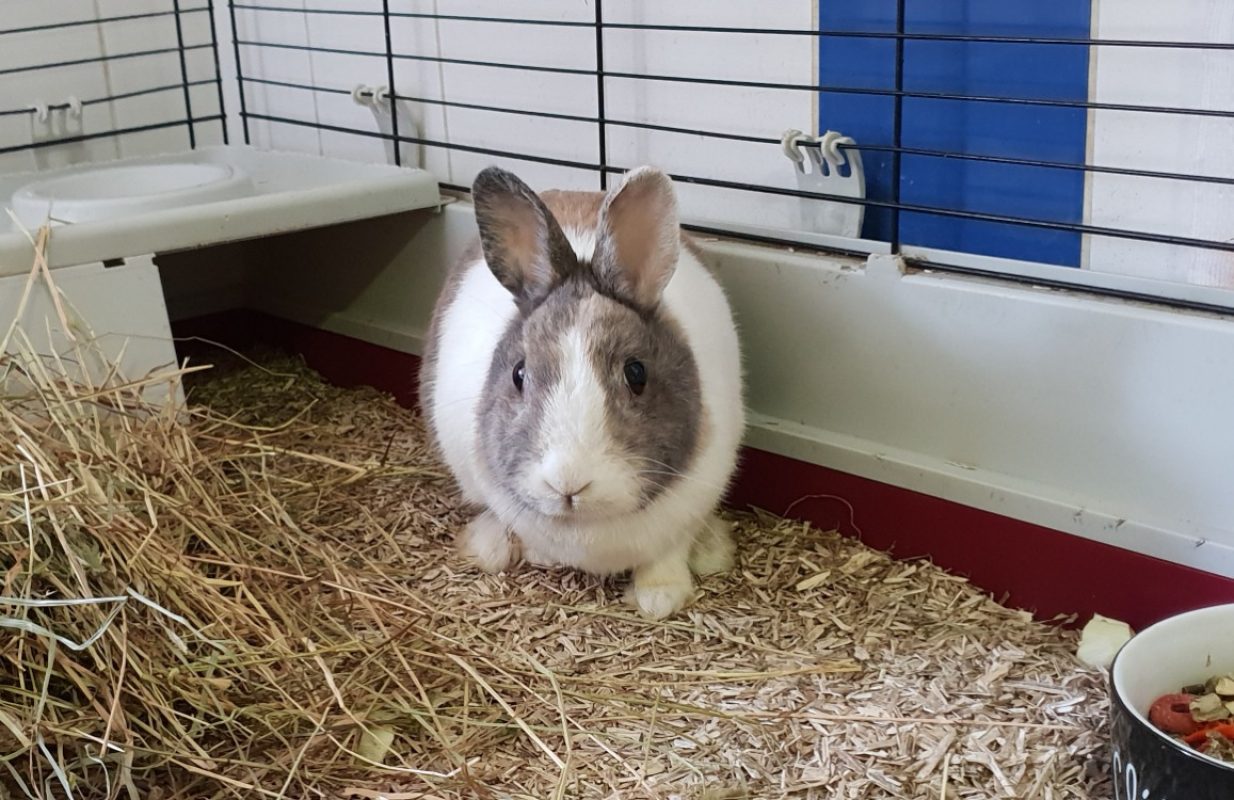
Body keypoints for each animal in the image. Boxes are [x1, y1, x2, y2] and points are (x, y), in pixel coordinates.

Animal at [419, 164, 745, 619]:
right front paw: (537, 554)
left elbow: (667, 554)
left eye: (637, 373)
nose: (568, 484)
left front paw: (659, 598)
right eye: (519, 374)